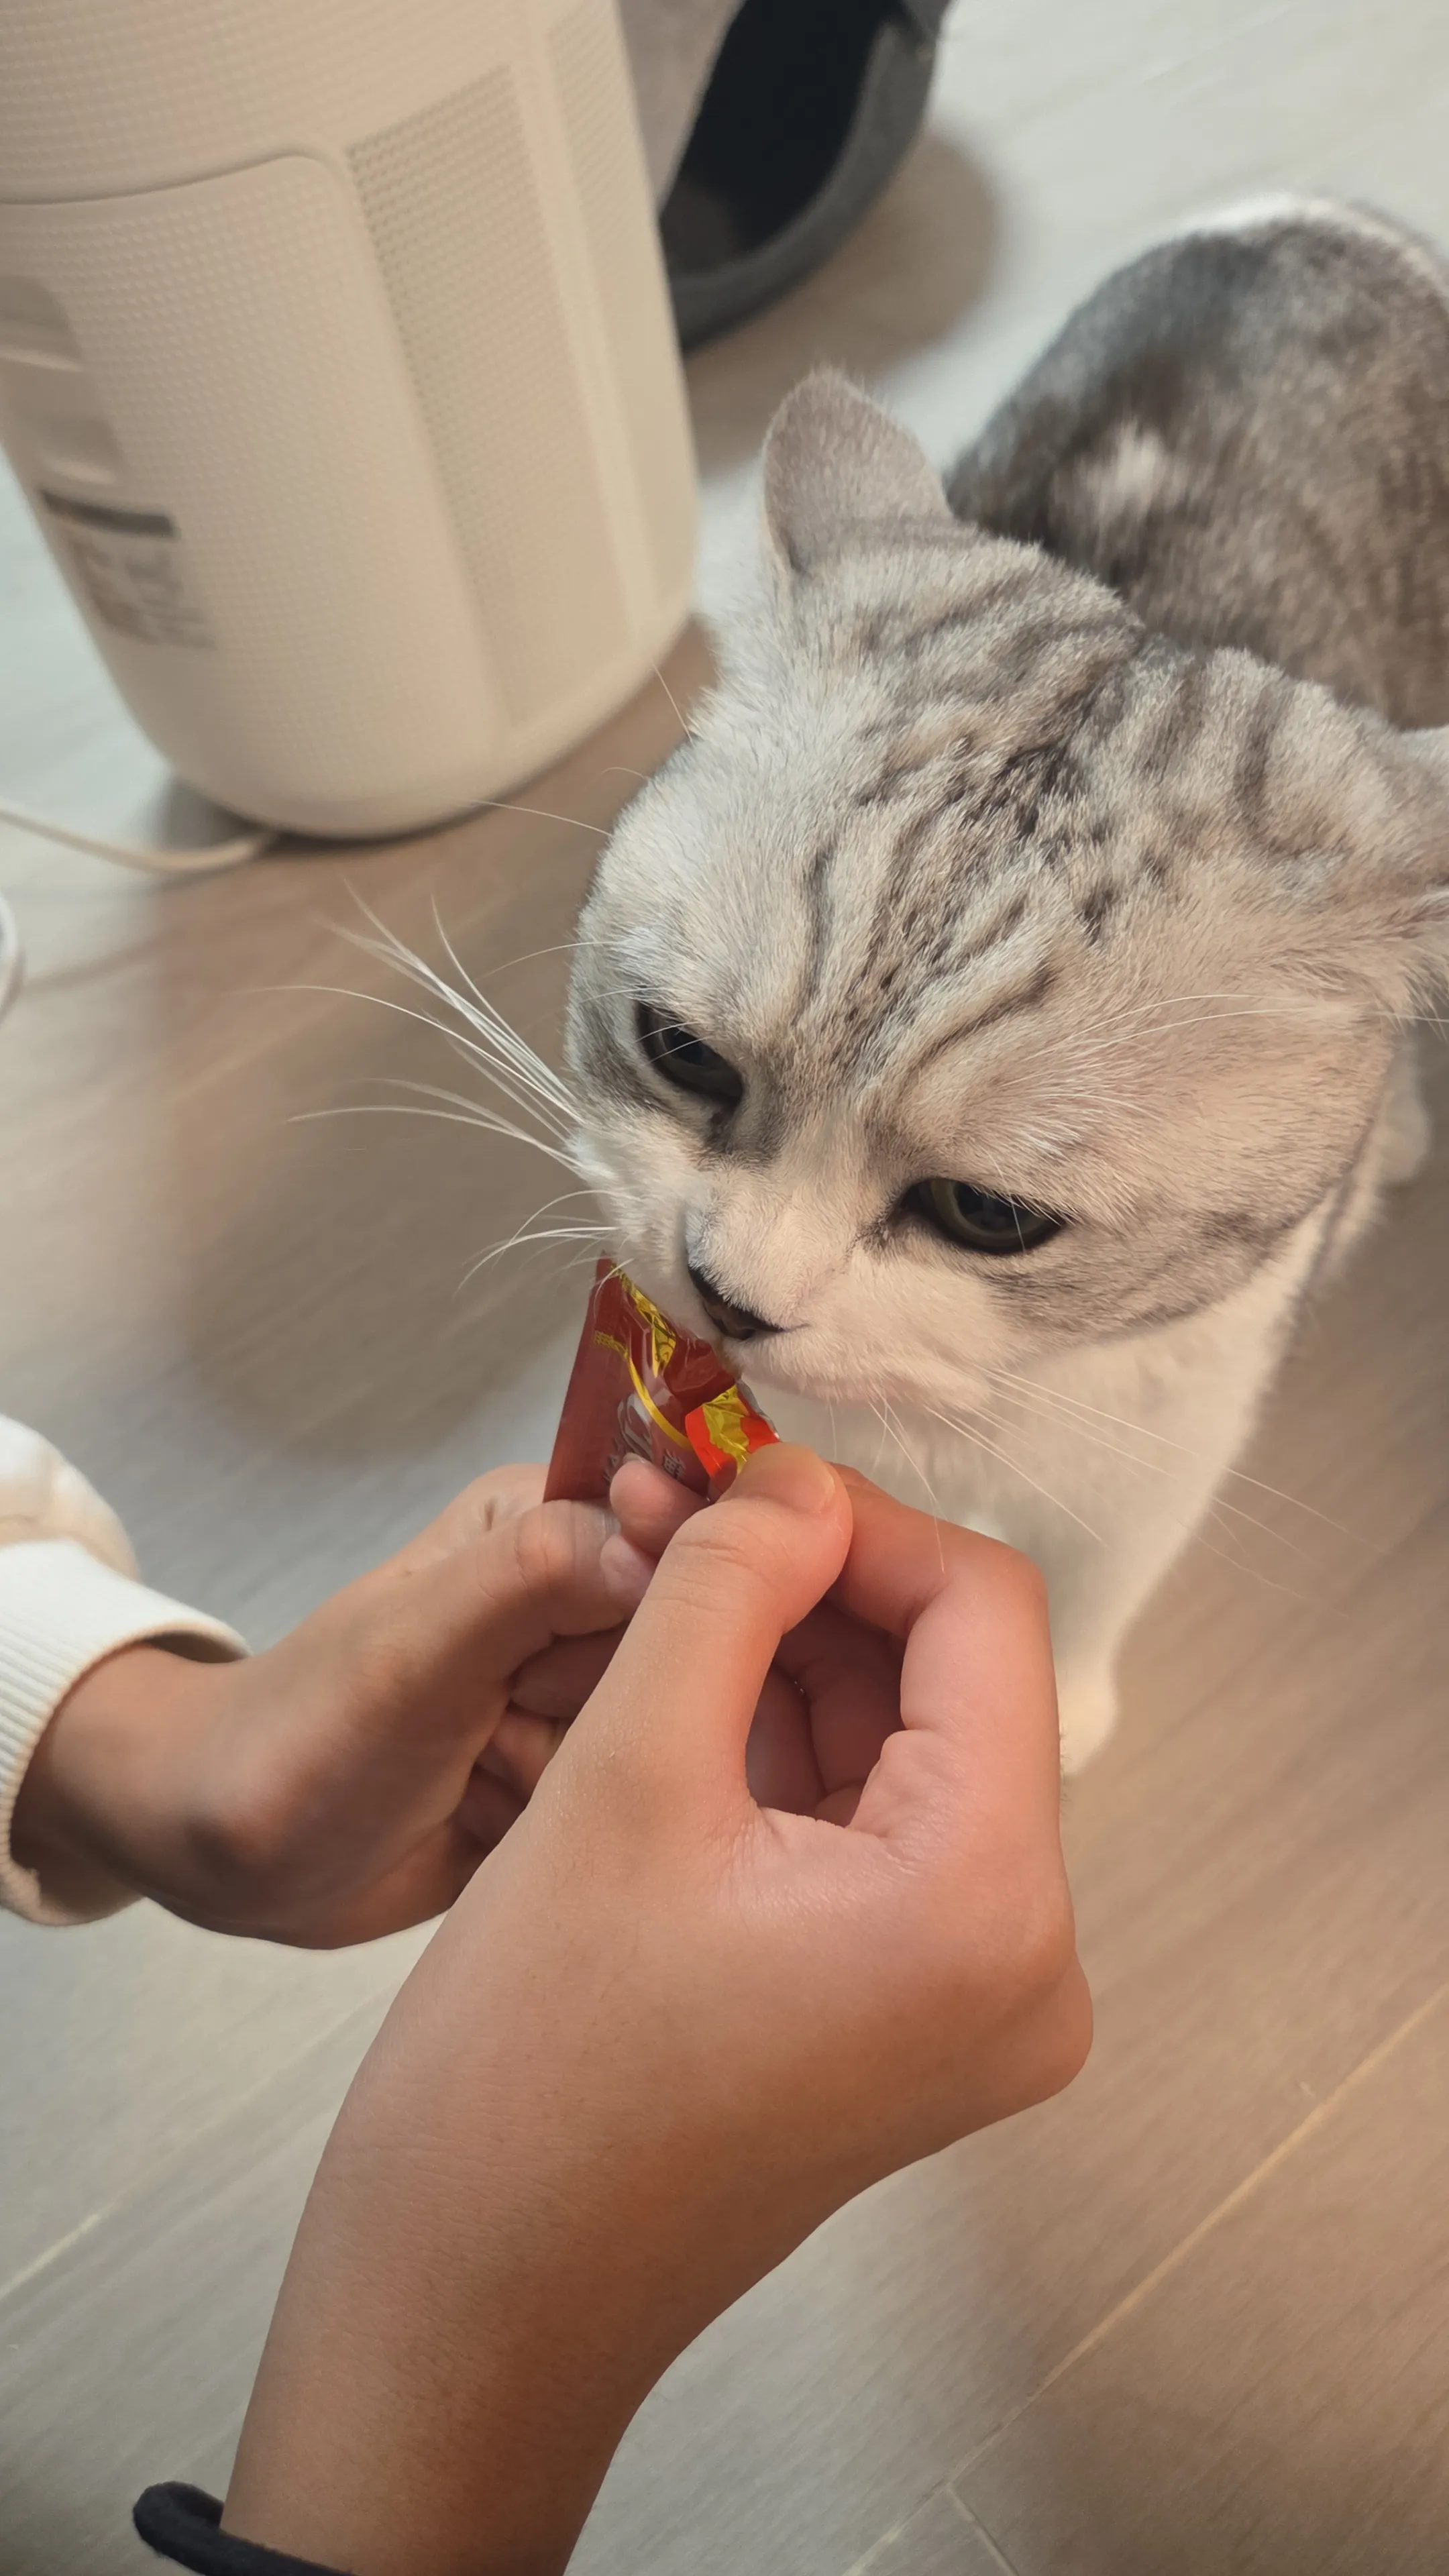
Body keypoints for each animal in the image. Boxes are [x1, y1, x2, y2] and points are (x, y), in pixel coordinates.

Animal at [561, 199, 1449, 1768]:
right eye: (683, 1054)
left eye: (989, 1216)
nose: (730, 1297)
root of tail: (1329, 220)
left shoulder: (1171, 1440)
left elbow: (1096, 1573)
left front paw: (1056, 1700)